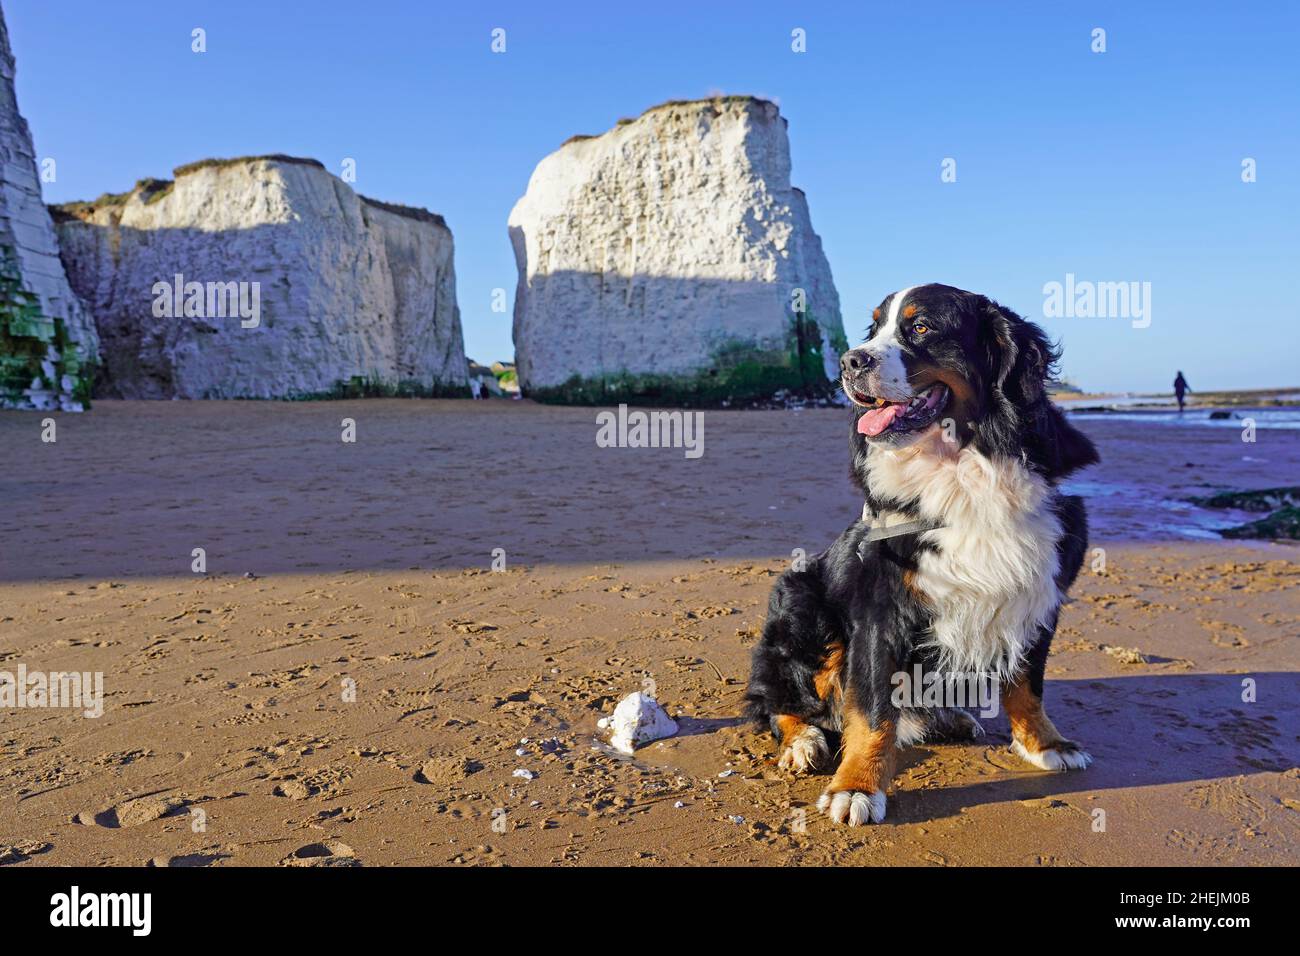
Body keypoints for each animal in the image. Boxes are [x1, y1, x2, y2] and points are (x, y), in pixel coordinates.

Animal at [748, 282, 1102, 822]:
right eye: (874, 327)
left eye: (920, 327)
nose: (849, 361)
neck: (963, 469)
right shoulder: (881, 609)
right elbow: (872, 709)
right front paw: (856, 786)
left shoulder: (1040, 589)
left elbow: (1027, 684)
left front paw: (1046, 744)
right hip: (801, 600)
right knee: (780, 700)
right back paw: (803, 741)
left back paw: (945, 718)